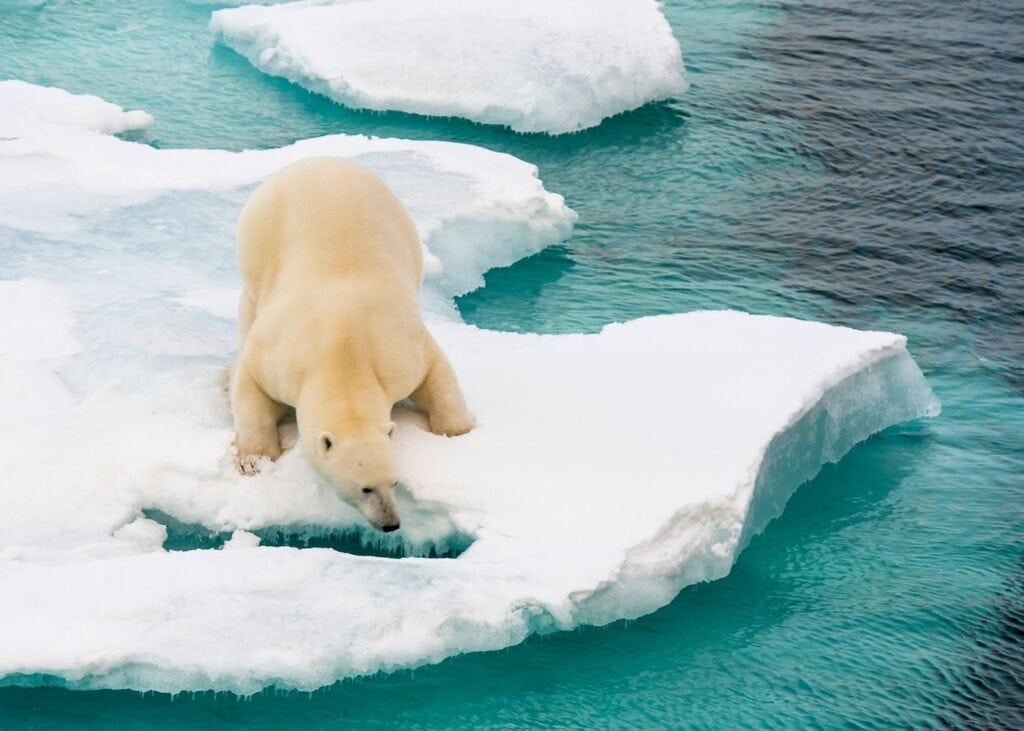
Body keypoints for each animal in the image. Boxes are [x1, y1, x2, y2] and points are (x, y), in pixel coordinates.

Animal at [230, 157, 475, 532]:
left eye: (395, 482)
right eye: (364, 488)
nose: (391, 523)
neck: (342, 352)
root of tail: (320, 160)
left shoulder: (398, 352)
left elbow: (437, 375)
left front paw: (459, 434)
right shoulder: (279, 357)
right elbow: (251, 385)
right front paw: (254, 460)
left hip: (401, 223)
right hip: (258, 234)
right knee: (250, 302)